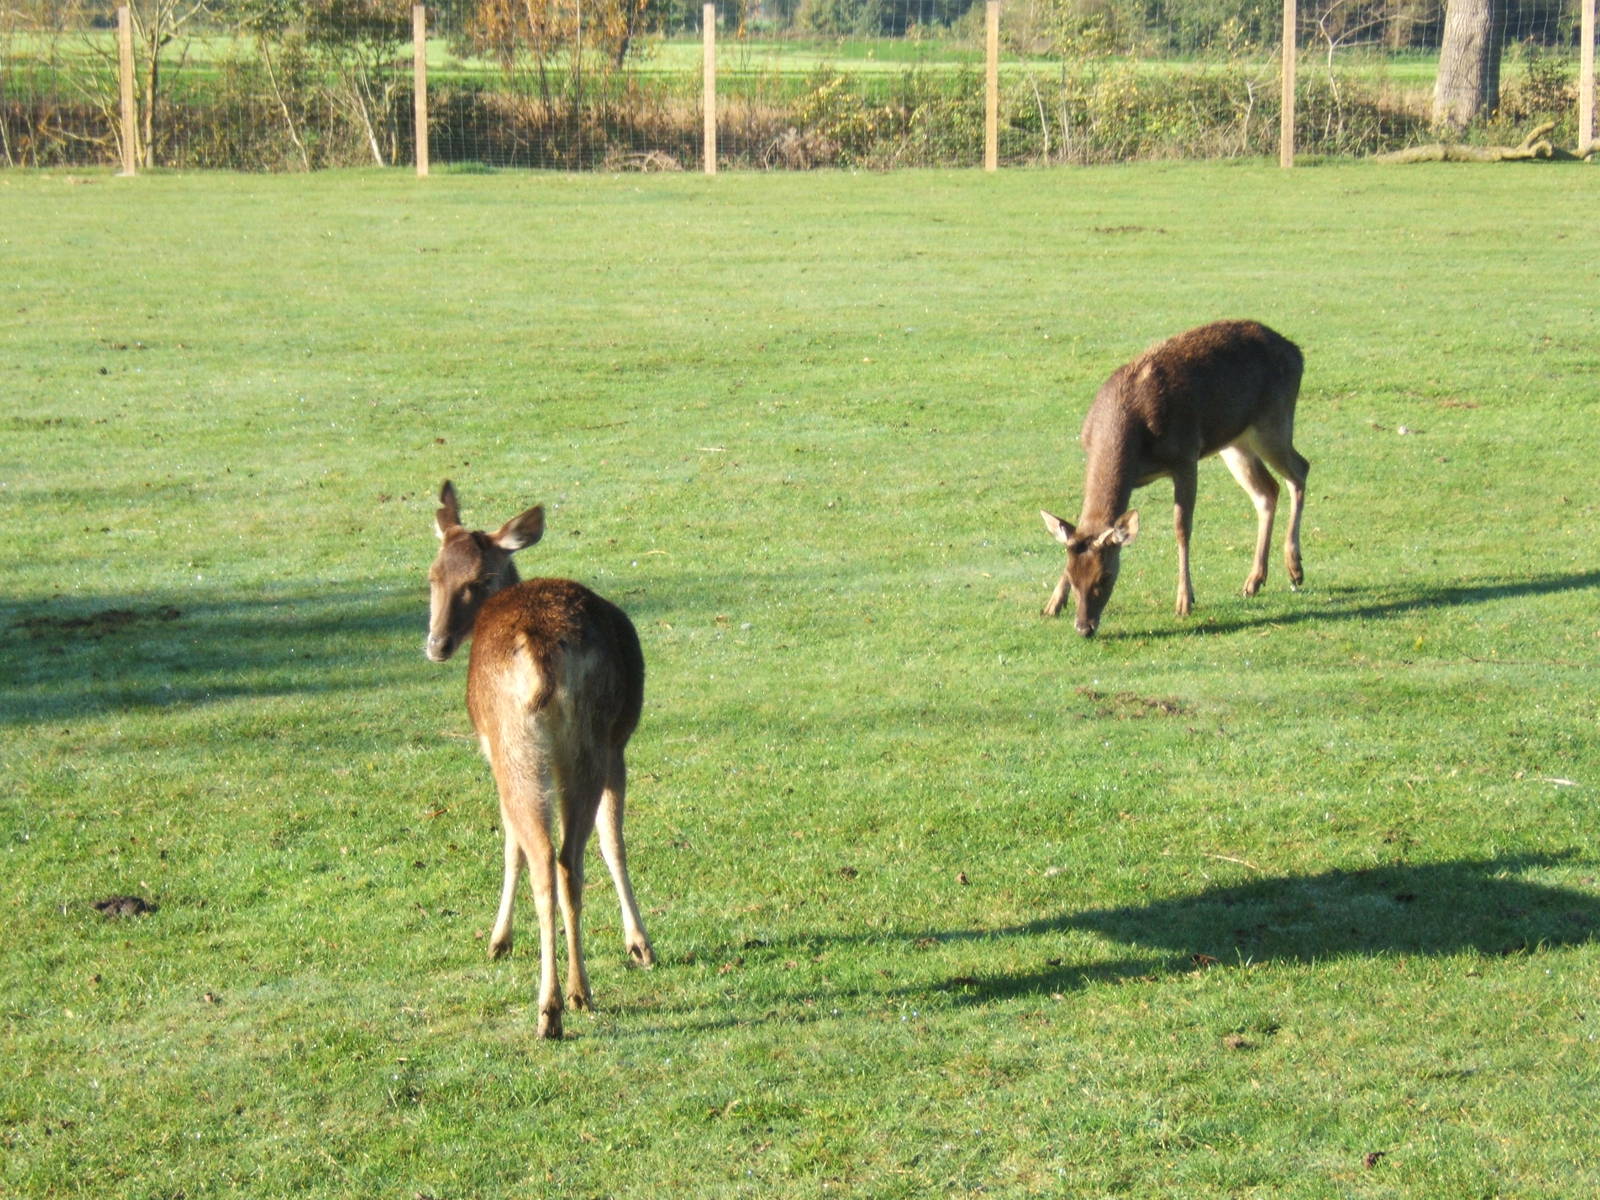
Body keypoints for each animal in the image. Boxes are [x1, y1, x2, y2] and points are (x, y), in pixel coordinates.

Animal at [425, 480, 654, 1039]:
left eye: (478, 579)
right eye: (433, 576)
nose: (436, 644)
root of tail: (540, 650)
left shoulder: (491, 751)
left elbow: (513, 844)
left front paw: (499, 939)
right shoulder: (617, 744)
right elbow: (606, 842)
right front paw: (639, 944)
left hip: (530, 746)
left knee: (549, 857)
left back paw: (555, 1004)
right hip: (580, 745)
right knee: (565, 857)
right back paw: (570, 996)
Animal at [1040, 319, 1309, 637]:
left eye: (1105, 576)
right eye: (1071, 574)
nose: (1084, 627)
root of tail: (1297, 353)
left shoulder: (1185, 456)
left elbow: (1182, 528)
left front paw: (1184, 601)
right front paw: (1052, 604)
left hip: (1274, 420)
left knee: (1300, 469)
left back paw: (1295, 568)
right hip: (1235, 442)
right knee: (1267, 490)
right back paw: (1254, 581)